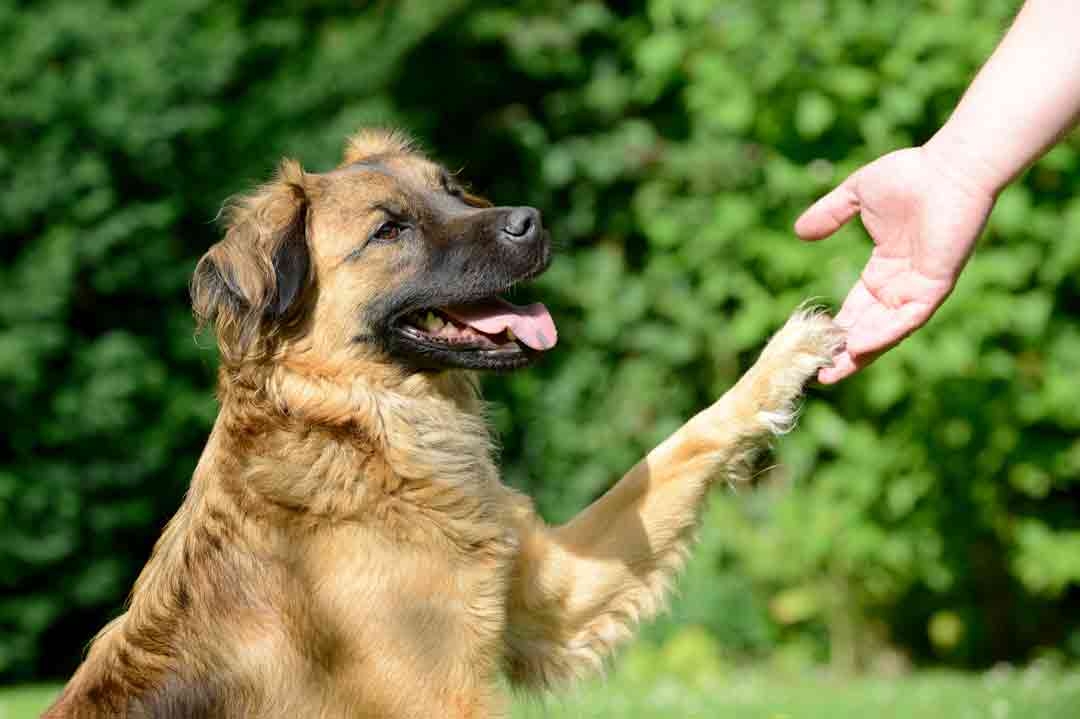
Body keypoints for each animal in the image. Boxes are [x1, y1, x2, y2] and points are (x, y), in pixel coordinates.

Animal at [44, 130, 842, 716]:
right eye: (389, 230)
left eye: (451, 190)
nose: (532, 221)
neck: (364, 433)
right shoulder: (442, 696)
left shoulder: (549, 597)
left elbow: (679, 447)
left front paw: (786, 357)